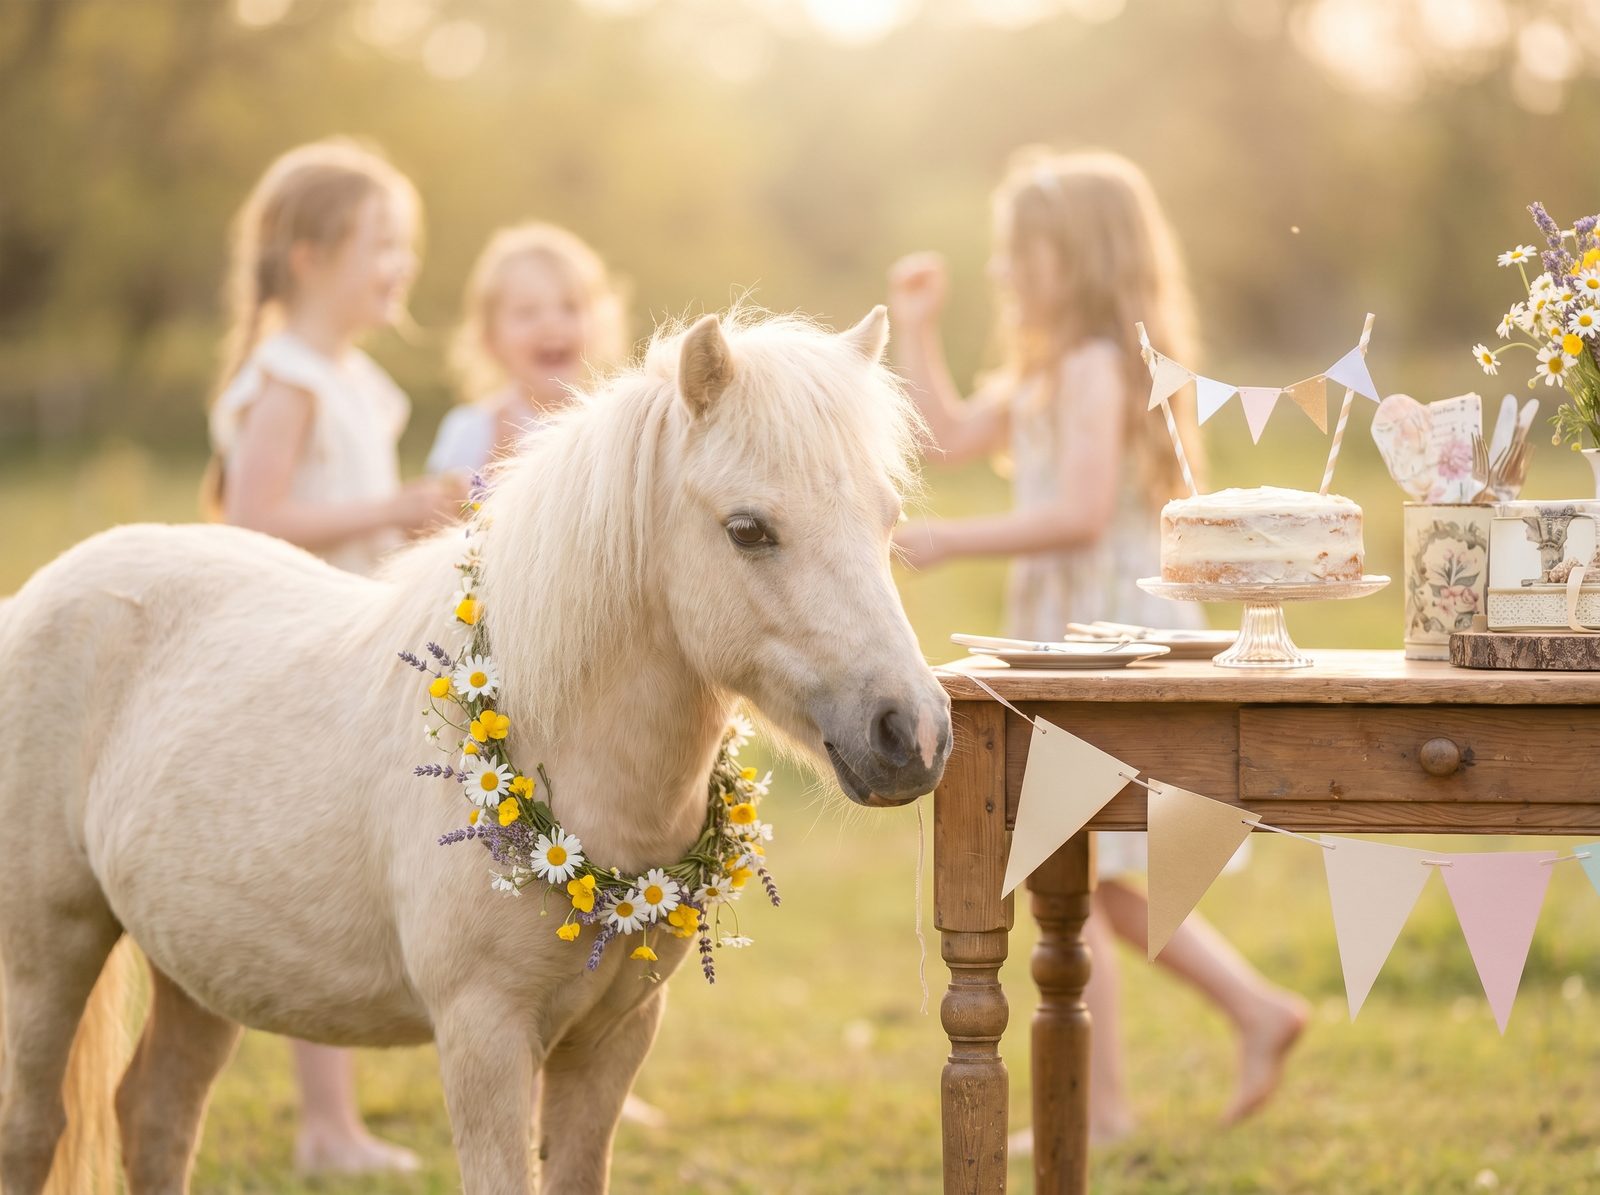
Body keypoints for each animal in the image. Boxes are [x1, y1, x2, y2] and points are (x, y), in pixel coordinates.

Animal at [0, 306, 952, 1194]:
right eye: (749, 528)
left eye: (888, 518)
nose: (911, 733)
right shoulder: (483, 1038)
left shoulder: (611, 1042)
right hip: (50, 955)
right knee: (37, 1127)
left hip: (201, 967)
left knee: (156, 1112)